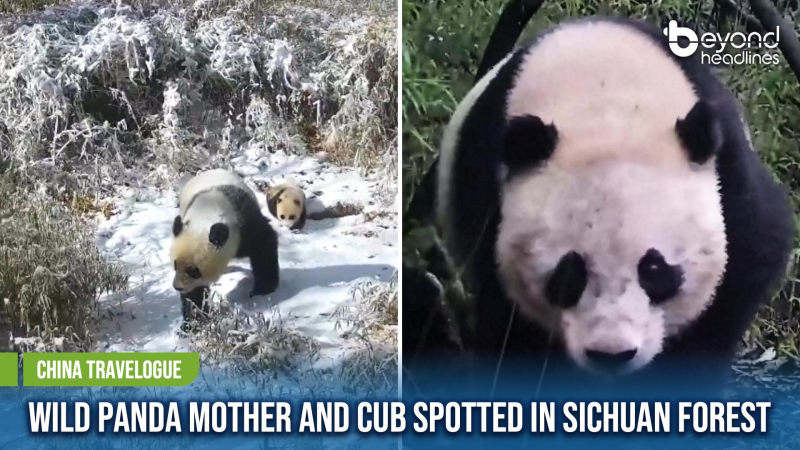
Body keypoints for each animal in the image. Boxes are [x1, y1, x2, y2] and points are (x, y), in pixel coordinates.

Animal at [171, 169, 279, 324]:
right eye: (175, 265)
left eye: (194, 270)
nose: (178, 287)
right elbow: (195, 294)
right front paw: (195, 320)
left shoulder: (244, 225)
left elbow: (264, 245)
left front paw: (262, 290)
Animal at [435, 10, 793, 380]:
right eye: (568, 273)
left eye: (654, 269)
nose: (612, 354)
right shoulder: (486, 197)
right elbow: (509, 322)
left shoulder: (731, 177)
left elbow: (745, 266)